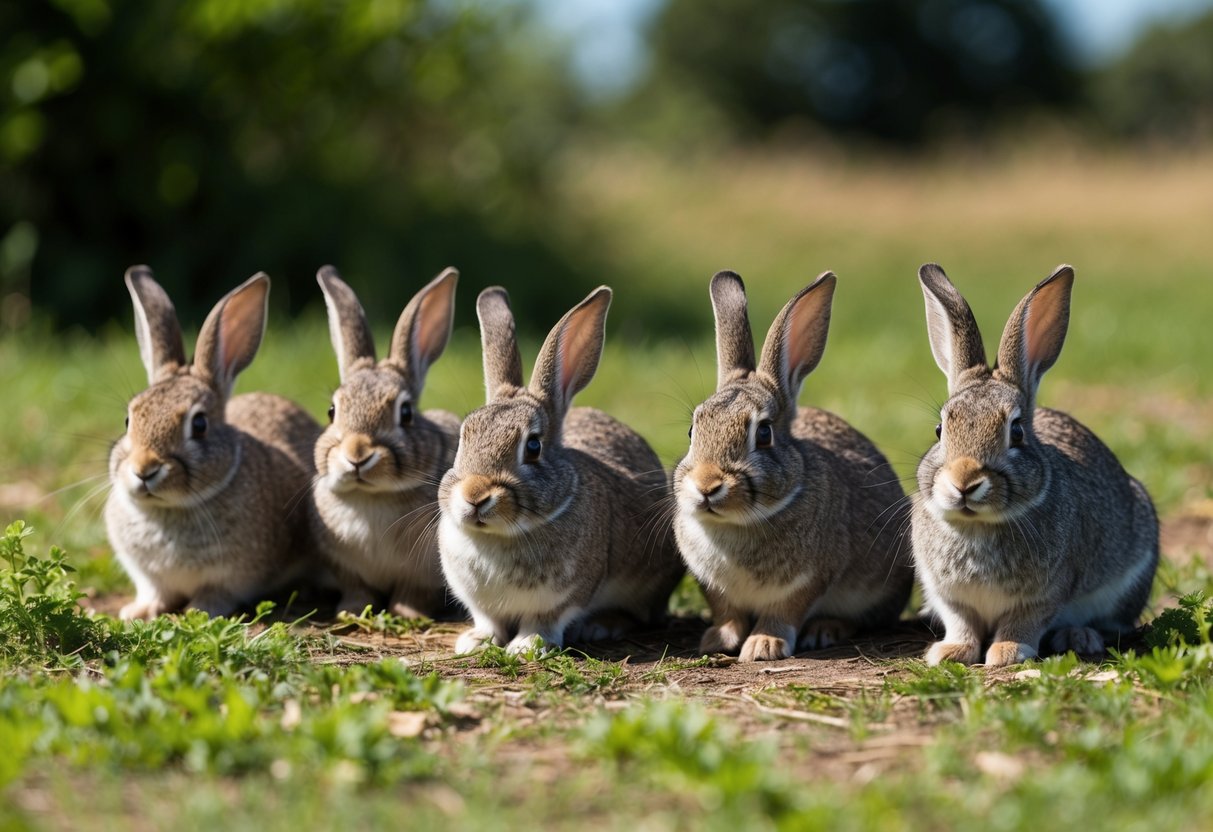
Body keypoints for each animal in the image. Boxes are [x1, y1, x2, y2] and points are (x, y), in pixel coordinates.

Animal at [105, 267, 322, 620]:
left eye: (200, 425)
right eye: (128, 420)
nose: (144, 470)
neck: (169, 509)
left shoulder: (233, 577)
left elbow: (216, 594)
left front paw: (198, 611)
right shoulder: (147, 575)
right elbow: (155, 592)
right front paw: (137, 612)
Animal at [310, 265, 462, 619]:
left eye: (405, 413)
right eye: (332, 411)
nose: (357, 455)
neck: (372, 496)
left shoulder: (423, 572)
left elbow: (414, 593)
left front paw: (407, 613)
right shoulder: (346, 568)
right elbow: (357, 590)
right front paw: (350, 611)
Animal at [437, 285, 684, 655]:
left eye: (533, 447)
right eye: (463, 438)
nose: (475, 495)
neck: (499, 536)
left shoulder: (566, 596)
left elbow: (546, 620)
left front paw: (527, 646)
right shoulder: (480, 603)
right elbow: (488, 620)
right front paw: (476, 642)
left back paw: (600, 626)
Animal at [672, 270, 913, 662]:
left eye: (764, 433)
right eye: (693, 430)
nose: (706, 486)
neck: (739, 524)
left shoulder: (809, 580)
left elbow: (784, 611)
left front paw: (763, 646)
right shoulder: (712, 586)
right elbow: (726, 612)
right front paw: (718, 640)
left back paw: (825, 629)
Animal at [912, 263, 1159, 667]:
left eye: (1016, 432)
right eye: (939, 430)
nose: (964, 481)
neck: (977, 525)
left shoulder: (1045, 594)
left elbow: (1024, 621)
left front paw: (1008, 652)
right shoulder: (948, 595)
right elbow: (961, 622)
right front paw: (950, 652)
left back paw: (1078, 636)